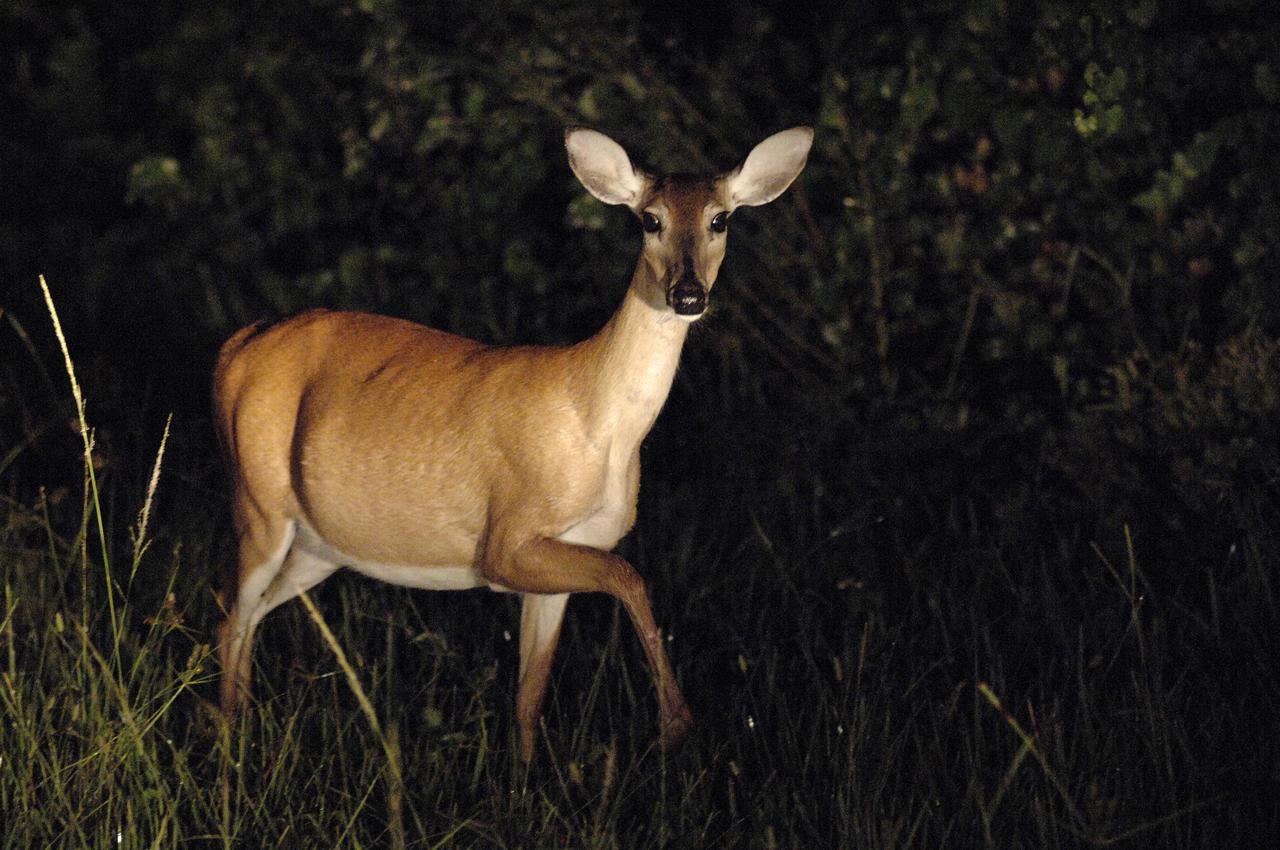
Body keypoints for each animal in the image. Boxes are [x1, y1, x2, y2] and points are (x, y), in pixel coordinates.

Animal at [213, 124, 813, 762]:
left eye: (720, 219)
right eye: (650, 220)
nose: (688, 295)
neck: (598, 423)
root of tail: (236, 346)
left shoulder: (562, 558)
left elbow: (529, 698)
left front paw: (528, 783)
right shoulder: (507, 539)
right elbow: (629, 575)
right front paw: (675, 722)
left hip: (319, 545)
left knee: (248, 618)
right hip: (257, 506)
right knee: (231, 614)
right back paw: (230, 753)